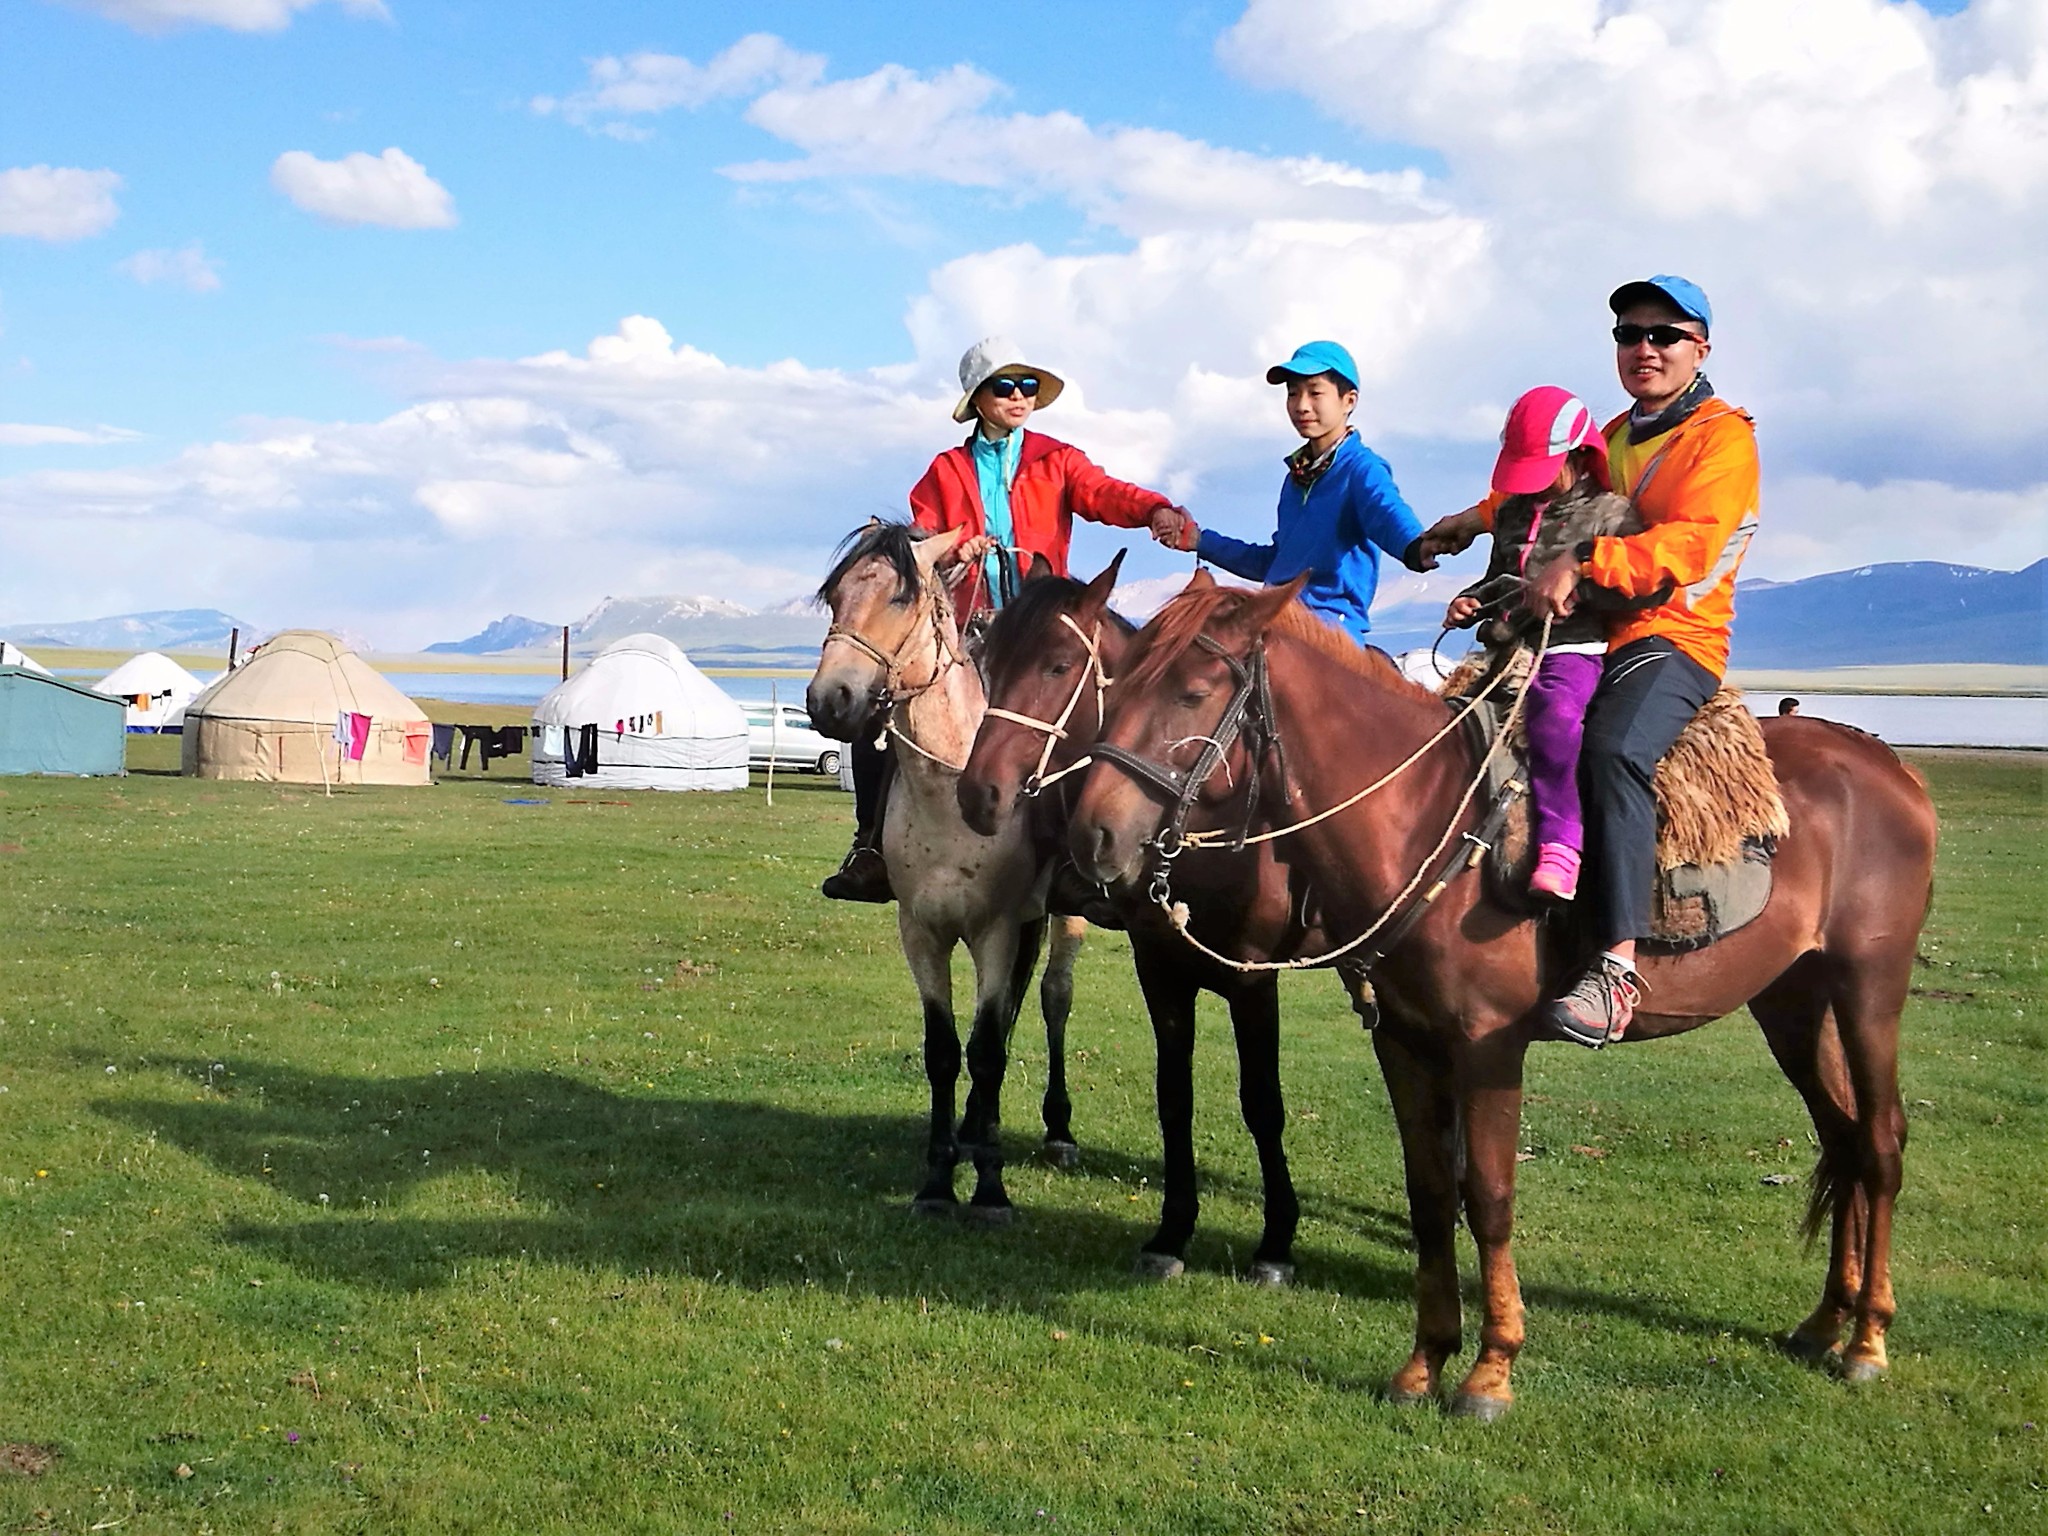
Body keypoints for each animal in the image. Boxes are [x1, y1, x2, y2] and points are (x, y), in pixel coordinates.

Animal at [806, 520, 1086, 1222]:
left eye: (900, 600)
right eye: (837, 599)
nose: (830, 701)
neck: (951, 789)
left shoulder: (994, 930)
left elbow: (985, 1050)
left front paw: (989, 1188)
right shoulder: (922, 931)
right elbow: (943, 1050)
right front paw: (938, 1178)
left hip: (1059, 917)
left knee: (1052, 999)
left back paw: (1058, 1130)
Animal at [959, 559, 1329, 1283]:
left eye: (1058, 664)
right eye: (990, 661)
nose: (978, 792)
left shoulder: (1252, 979)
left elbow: (1262, 1103)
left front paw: (1276, 1240)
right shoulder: (1152, 961)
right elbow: (1168, 1091)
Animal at [1068, 576, 1937, 1418]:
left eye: (1192, 691)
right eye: (1119, 683)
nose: (1091, 837)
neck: (1421, 822)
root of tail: (1886, 764)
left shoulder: (1488, 1049)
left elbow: (1487, 1196)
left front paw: (1490, 1372)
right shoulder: (1405, 1042)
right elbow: (1429, 1194)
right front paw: (1424, 1362)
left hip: (1868, 988)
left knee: (1881, 1141)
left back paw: (1867, 1340)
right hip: (1792, 999)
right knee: (1844, 1137)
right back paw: (1825, 1322)